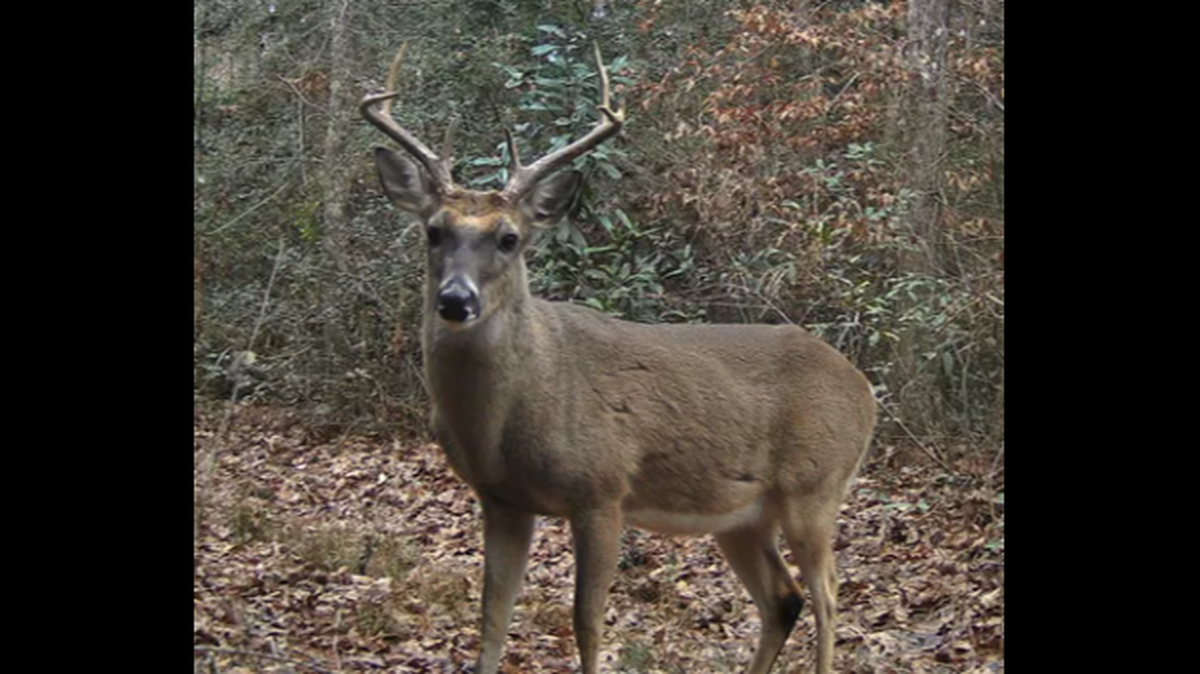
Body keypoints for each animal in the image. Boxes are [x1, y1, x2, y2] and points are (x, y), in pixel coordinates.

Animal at [361, 43, 877, 674]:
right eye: (434, 231)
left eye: (509, 238)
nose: (457, 300)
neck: (512, 414)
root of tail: (863, 388)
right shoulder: (501, 499)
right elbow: (492, 619)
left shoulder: (602, 490)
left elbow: (586, 623)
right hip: (741, 515)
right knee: (784, 598)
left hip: (815, 485)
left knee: (828, 597)